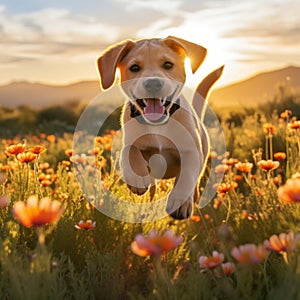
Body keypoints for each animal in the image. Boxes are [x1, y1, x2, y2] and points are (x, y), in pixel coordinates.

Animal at [96, 36, 223, 219]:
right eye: (135, 68)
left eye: (168, 65)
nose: (153, 83)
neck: (158, 125)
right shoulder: (130, 141)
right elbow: (128, 151)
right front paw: (137, 178)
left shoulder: (191, 151)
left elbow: (186, 177)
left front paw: (180, 203)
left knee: (193, 186)